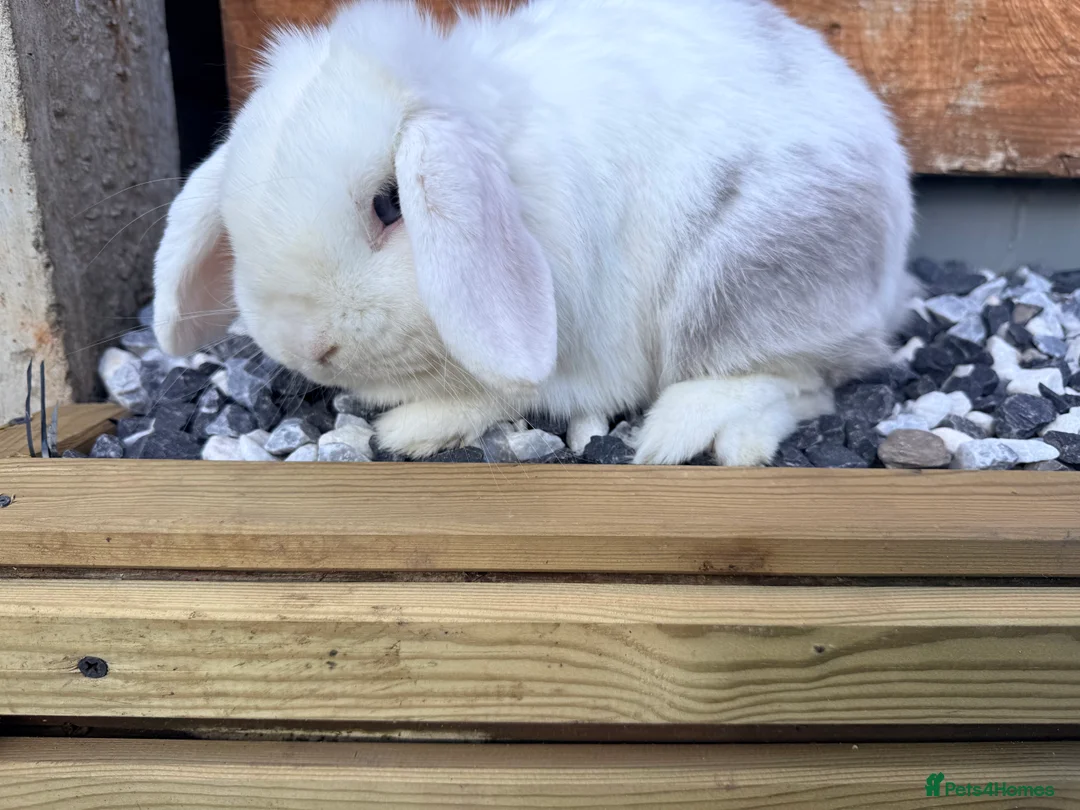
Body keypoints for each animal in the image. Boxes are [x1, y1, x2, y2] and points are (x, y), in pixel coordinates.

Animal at [152, 0, 916, 465]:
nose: (309, 348)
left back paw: (690, 432)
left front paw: (410, 429)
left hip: (743, 282)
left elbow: (502, 395)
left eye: (390, 205)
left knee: (804, 379)